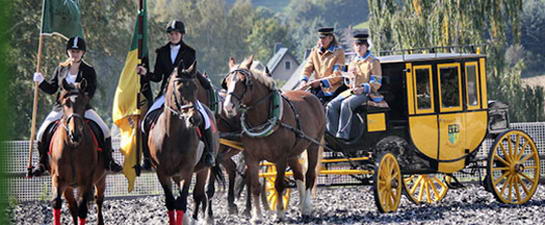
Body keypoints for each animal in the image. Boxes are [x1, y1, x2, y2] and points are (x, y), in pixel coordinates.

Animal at [50, 79, 107, 225]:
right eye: (66, 103)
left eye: (84, 103)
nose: (74, 134)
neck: (73, 147)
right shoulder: (58, 179)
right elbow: (57, 203)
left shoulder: (86, 181)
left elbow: (82, 209)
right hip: (69, 187)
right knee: (72, 206)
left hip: (101, 179)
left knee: (99, 200)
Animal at [147, 61, 221, 225]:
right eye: (180, 89)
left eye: (195, 87)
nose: (195, 119)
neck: (171, 134)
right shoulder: (161, 172)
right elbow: (171, 202)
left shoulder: (187, 170)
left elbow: (182, 202)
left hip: (203, 168)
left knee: (198, 194)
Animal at [222, 55, 326, 221]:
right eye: (226, 82)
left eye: (244, 81)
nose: (228, 107)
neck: (262, 119)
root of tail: (313, 97)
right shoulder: (251, 157)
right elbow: (255, 186)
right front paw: (257, 216)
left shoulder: (281, 157)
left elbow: (278, 184)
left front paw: (279, 213)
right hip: (294, 152)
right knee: (299, 174)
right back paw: (301, 205)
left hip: (313, 145)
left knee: (310, 174)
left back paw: (306, 207)